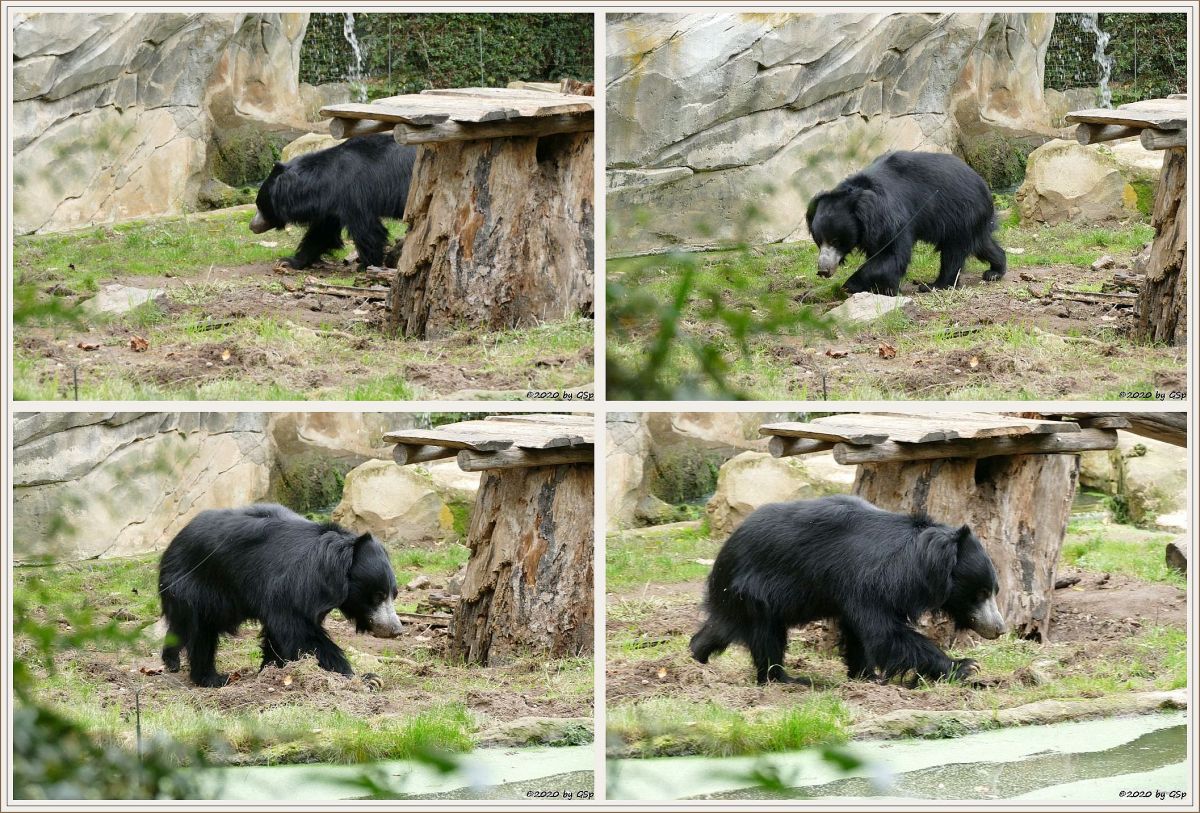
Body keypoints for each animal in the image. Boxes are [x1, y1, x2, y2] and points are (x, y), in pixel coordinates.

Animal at [157, 506, 403, 690]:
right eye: (377, 596)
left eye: (393, 594)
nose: (396, 630)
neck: (330, 574)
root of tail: (177, 538)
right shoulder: (294, 587)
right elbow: (299, 632)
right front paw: (364, 679)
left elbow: (279, 635)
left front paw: (271, 671)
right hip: (195, 586)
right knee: (198, 631)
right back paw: (207, 676)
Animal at [248, 134, 417, 271]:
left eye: (260, 205)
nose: (252, 226)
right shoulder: (331, 204)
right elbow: (321, 234)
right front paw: (288, 262)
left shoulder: (354, 193)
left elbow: (368, 230)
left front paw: (367, 266)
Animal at [691, 496, 1008, 685]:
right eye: (980, 593)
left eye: (994, 590)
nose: (1000, 628)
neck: (917, 560)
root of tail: (723, 555)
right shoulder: (870, 582)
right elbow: (884, 633)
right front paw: (965, 666)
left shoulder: (858, 593)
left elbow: (860, 635)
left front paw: (866, 677)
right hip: (755, 591)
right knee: (767, 637)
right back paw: (785, 680)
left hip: (737, 597)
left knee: (721, 628)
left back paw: (696, 658)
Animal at [801, 151, 1008, 297]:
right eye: (819, 241)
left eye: (836, 240)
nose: (823, 270)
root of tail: (982, 184)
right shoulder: (872, 229)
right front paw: (886, 290)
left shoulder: (892, 217)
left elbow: (892, 255)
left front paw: (850, 286)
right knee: (982, 244)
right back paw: (995, 271)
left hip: (961, 213)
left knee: (953, 252)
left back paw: (934, 285)